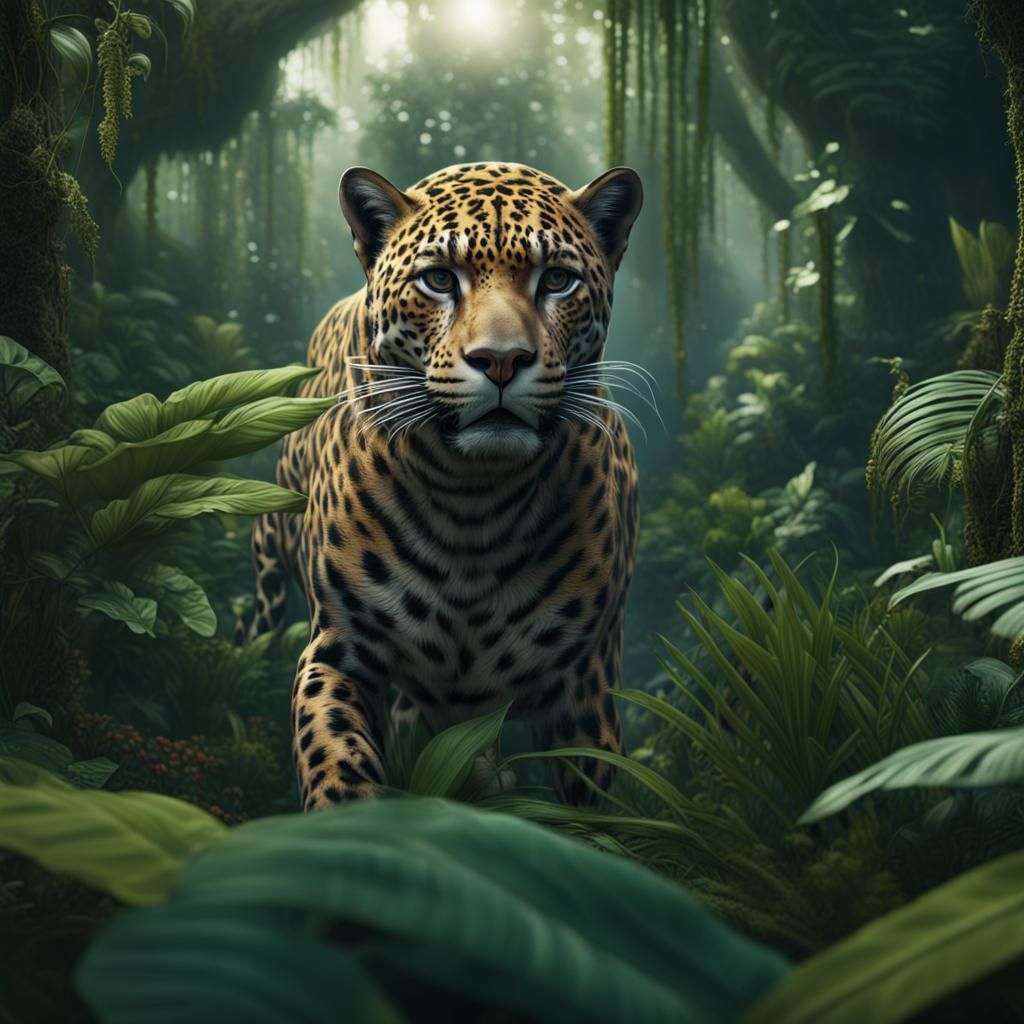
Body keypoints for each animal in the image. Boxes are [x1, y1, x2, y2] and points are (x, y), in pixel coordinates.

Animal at [247, 160, 644, 809]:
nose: (502, 360)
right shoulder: (338, 650)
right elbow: (333, 758)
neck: (474, 502)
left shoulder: (586, 686)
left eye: (558, 280)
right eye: (438, 279)